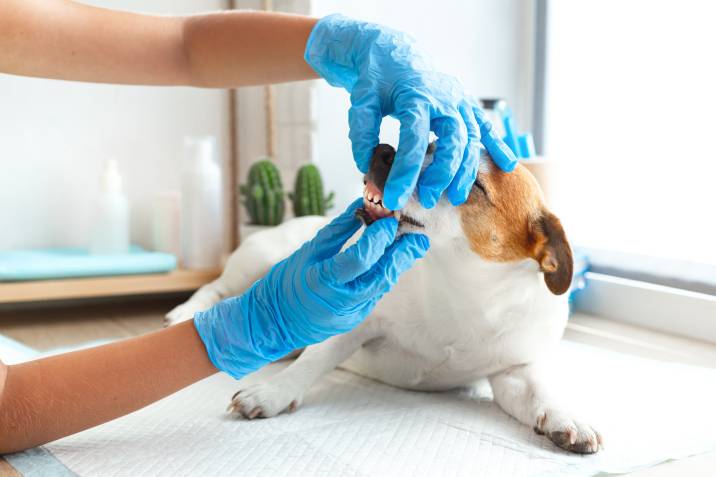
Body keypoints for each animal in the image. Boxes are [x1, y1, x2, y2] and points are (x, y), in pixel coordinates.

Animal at [165, 144, 600, 454]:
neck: (461, 291)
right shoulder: (355, 322)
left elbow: (540, 392)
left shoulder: (514, 369)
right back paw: (187, 314)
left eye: (473, 185)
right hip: (258, 260)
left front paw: (567, 418)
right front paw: (270, 394)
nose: (385, 149)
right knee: (218, 291)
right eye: (432, 143)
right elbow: (313, 362)